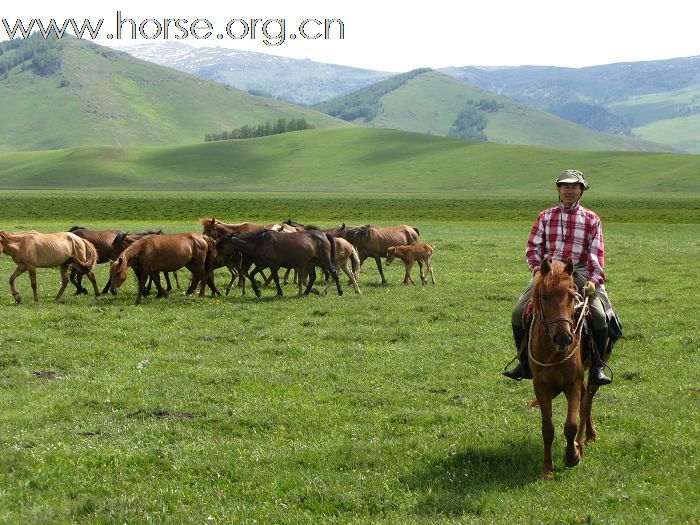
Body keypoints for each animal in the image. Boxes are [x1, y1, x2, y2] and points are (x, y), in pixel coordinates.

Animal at [528, 258, 604, 478]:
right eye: (544, 296)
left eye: (571, 296)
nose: (563, 338)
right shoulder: (540, 385)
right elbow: (547, 429)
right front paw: (547, 469)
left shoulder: (573, 383)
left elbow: (571, 425)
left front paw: (572, 456)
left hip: (594, 373)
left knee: (586, 405)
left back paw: (582, 442)